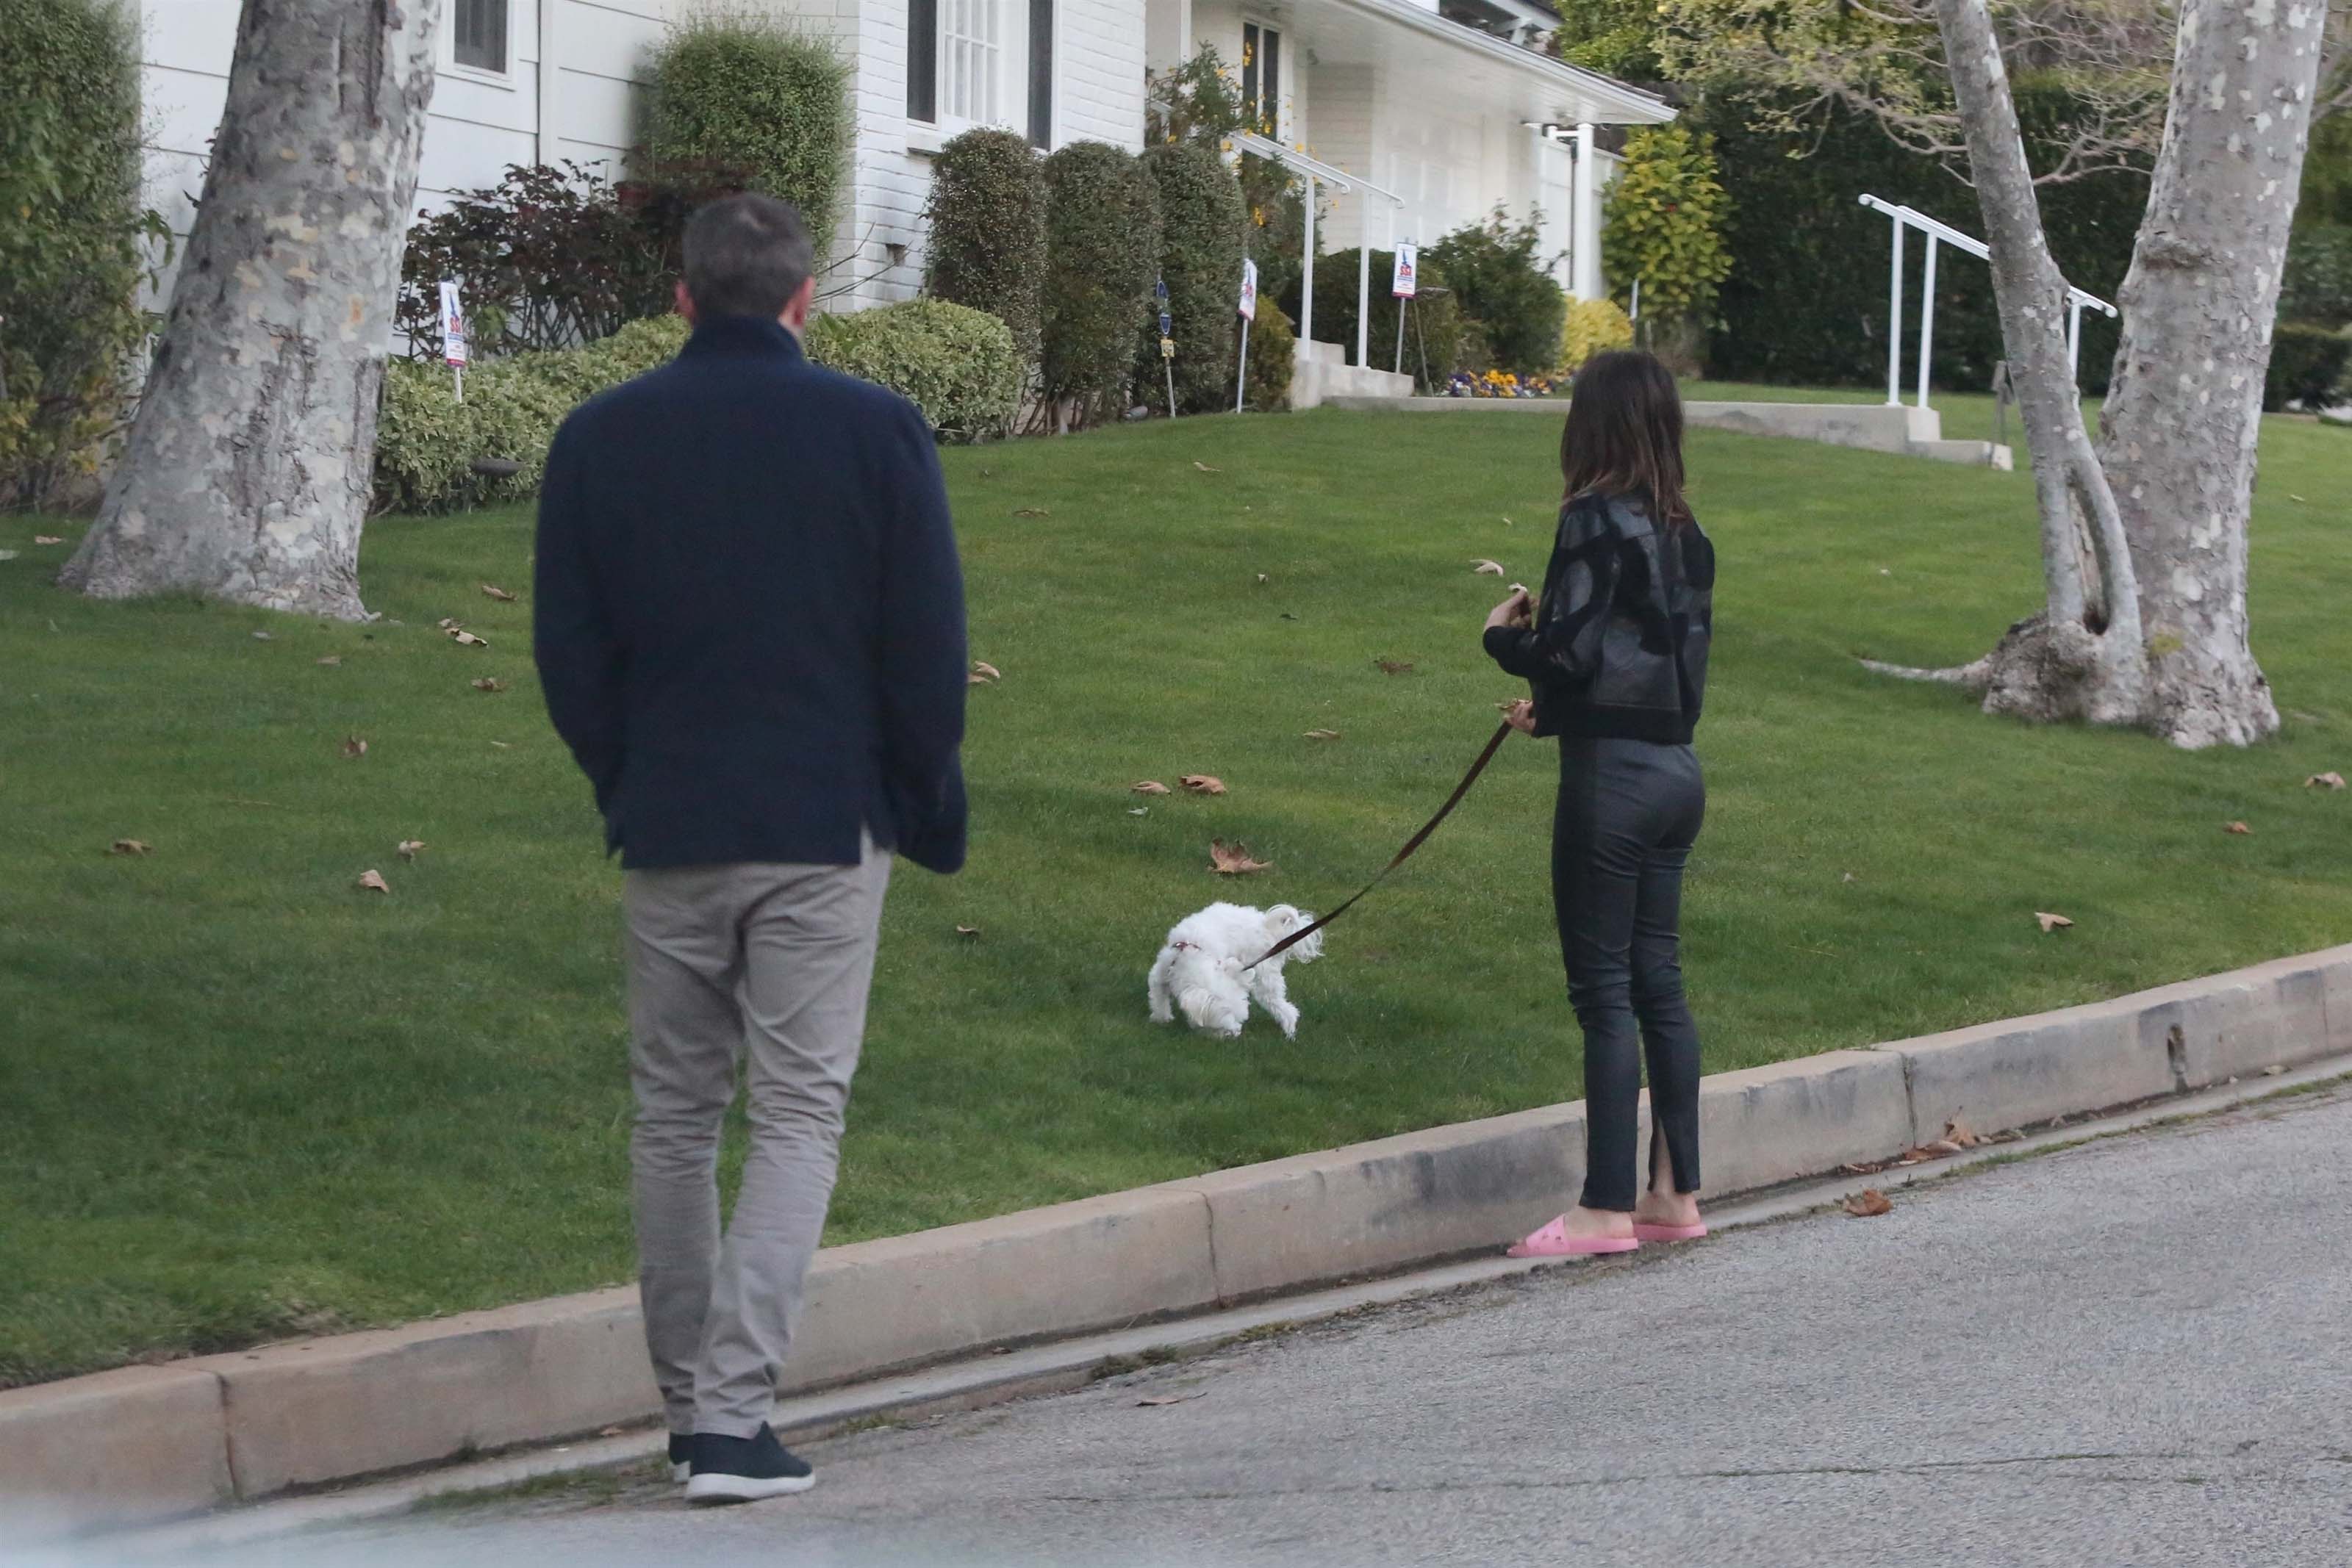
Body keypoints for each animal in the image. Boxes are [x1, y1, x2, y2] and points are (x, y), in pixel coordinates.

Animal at [1152, 907, 1335, 1043]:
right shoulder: (1162, 970)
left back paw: (1289, 1031)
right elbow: (1158, 995)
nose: (1236, 1033)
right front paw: (1162, 1018)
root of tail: (1268, 929)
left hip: (1264, 977)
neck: (1191, 953)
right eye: (1220, 1026)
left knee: (1283, 1006)